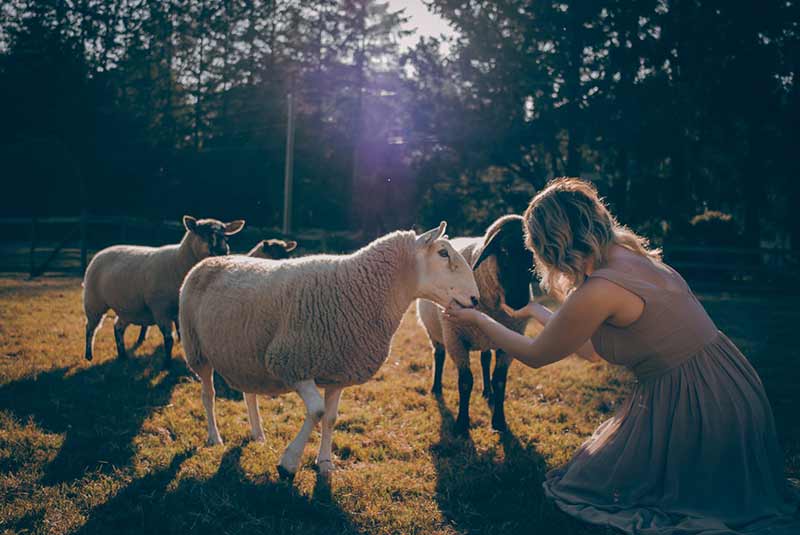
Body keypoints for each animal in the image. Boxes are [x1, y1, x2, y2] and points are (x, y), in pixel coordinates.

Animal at [81, 214, 245, 368]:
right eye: (203, 233)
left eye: (225, 236)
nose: (223, 251)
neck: (179, 262)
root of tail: (102, 251)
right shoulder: (160, 308)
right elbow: (169, 339)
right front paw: (167, 364)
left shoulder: (179, 311)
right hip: (94, 301)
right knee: (90, 328)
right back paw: (89, 355)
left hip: (128, 308)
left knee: (118, 328)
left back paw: (122, 356)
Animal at [178, 222, 478, 482]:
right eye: (443, 253)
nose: (475, 299)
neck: (361, 290)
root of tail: (206, 262)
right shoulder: (292, 362)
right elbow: (317, 411)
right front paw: (288, 464)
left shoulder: (338, 372)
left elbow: (331, 418)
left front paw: (324, 463)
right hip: (197, 349)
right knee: (208, 394)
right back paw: (214, 437)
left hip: (244, 354)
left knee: (249, 393)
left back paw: (258, 434)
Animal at [416, 215, 536, 436]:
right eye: (504, 250)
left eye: (532, 253)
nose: (519, 301)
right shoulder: (455, 339)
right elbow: (465, 382)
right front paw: (462, 424)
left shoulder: (509, 342)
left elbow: (500, 381)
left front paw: (499, 421)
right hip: (435, 333)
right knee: (439, 356)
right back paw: (436, 388)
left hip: (485, 338)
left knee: (485, 359)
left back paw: (487, 391)